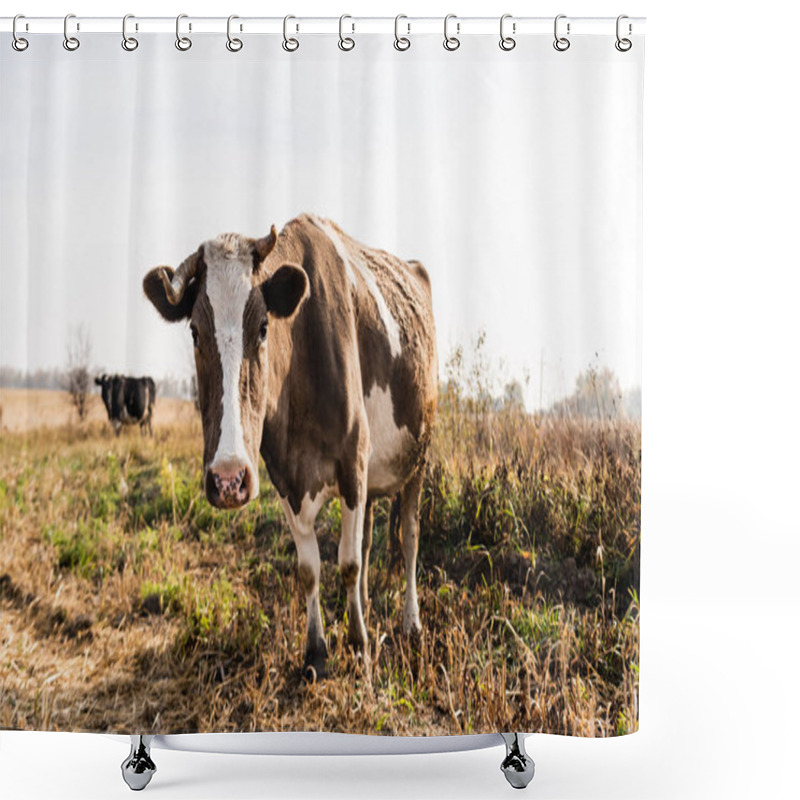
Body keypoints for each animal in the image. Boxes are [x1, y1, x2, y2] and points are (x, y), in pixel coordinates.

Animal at [144, 216, 438, 680]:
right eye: (194, 331)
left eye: (263, 327)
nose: (228, 479)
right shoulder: (284, 475)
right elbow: (310, 568)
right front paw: (316, 650)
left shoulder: (352, 461)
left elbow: (347, 563)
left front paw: (359, 646)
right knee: (369, 538)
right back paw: (366, 605)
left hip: (419, 458)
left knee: (408, 537)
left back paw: (410, 623)